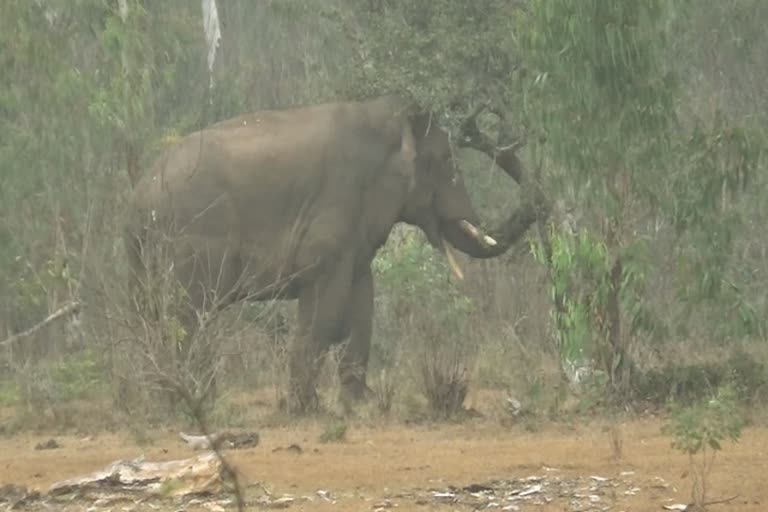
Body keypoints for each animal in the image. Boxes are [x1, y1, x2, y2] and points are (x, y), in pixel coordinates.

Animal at [124, 95, 536, 412]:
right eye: (448, 163)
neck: (386, 114)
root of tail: (140, 198)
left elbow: (362, 303)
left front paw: (359, 404)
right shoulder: (334, 213)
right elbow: (327, 311)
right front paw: (306, 408)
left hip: (143, 256)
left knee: (150, 318)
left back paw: (165, 402)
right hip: (190, 242)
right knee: (188, 317)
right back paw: (195, 402)